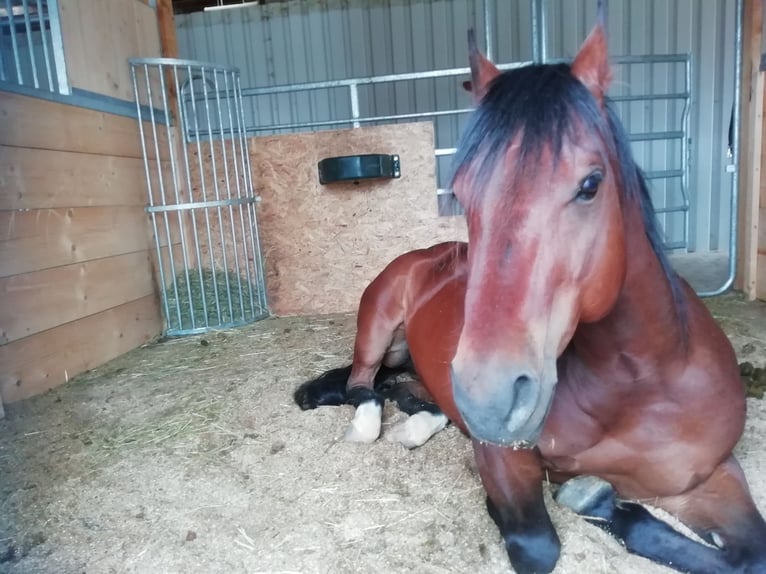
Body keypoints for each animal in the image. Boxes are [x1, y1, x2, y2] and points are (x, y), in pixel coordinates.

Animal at [293, 3, 766, 573]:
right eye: (461, 192)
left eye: (591, 184)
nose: (486, 396)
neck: (640, 383)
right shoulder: (503, 457)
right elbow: (538, 543)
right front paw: (591, 500)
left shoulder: (710, 477)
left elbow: (751, 554)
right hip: (377, 324)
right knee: (363, 385)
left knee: (408, 394)